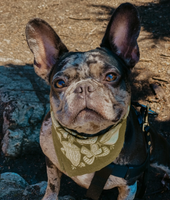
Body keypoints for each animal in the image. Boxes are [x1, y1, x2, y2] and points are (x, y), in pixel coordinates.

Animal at [24, 3, 170, 200]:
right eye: (59, 83)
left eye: (111, 76)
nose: (84, 87)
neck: (88, 141)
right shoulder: (51, 163)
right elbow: (53, 185)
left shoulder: (128, 186)